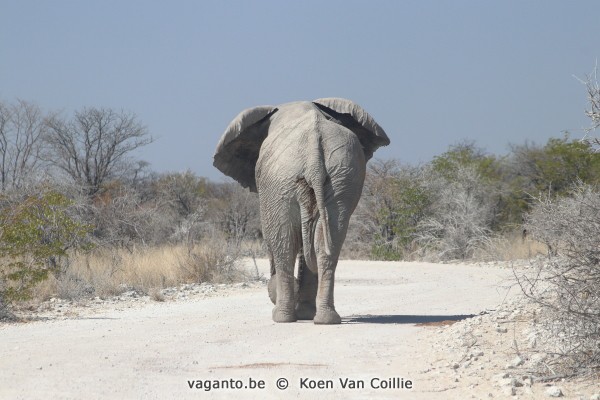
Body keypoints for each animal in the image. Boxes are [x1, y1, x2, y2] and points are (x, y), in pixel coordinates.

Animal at [213, 98, 392, 324]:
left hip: (281, 180)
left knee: (284, 242)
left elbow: (274, 236)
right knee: (327, 242)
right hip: (343, 173)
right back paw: (324, 318)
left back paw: (282, 317)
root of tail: (314, 150)